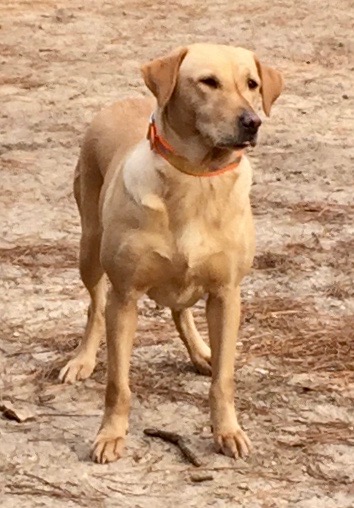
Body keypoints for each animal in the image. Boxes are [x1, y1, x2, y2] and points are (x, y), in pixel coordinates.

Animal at [59, 44, 284, 464]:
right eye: (208, 82)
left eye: (252, 84)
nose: (253, 122)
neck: (195, 178)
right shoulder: (124, 297)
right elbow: (118, 383)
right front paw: (110, 435)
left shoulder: (227, 294)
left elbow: (224, 379)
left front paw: (227, 431)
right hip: (89, 250)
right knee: (94, 305)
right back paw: (82, 359)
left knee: (182, 311)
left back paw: (201, 352)